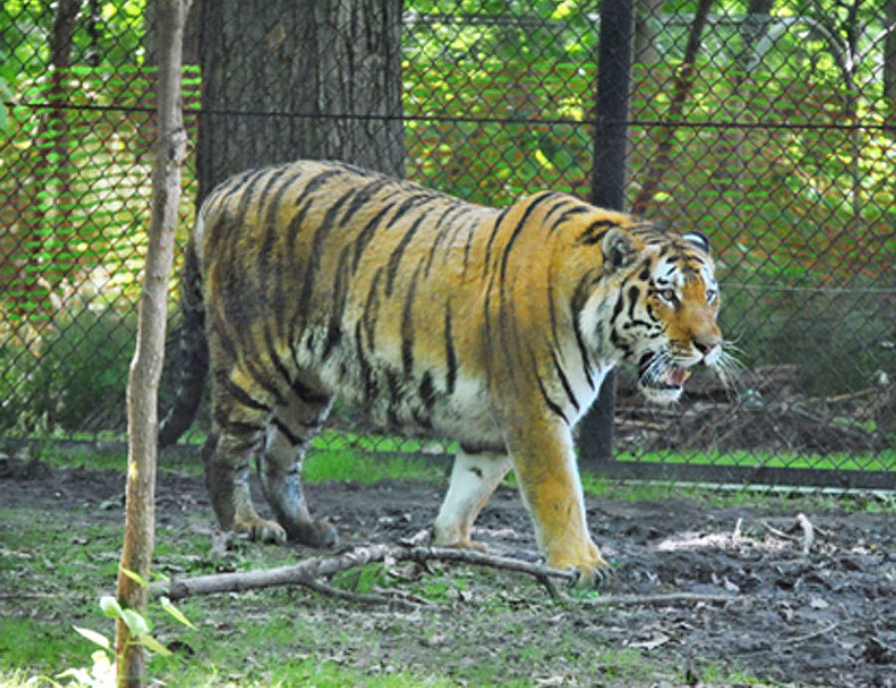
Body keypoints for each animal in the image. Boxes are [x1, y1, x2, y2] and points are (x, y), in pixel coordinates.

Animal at [160, 159, 733, 588]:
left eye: (710, 295)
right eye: (667, 295)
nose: (709, 346)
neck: (600, 333)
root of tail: (224, 189)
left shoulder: (496, 428)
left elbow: (470, 487)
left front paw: (452, 542)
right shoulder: (536, 413)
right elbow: (560, 496)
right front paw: (582, 564)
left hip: (309, 383)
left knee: (280, 457)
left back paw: (308, 530)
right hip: (253, 358)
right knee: (223, 447)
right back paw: (248, 525)